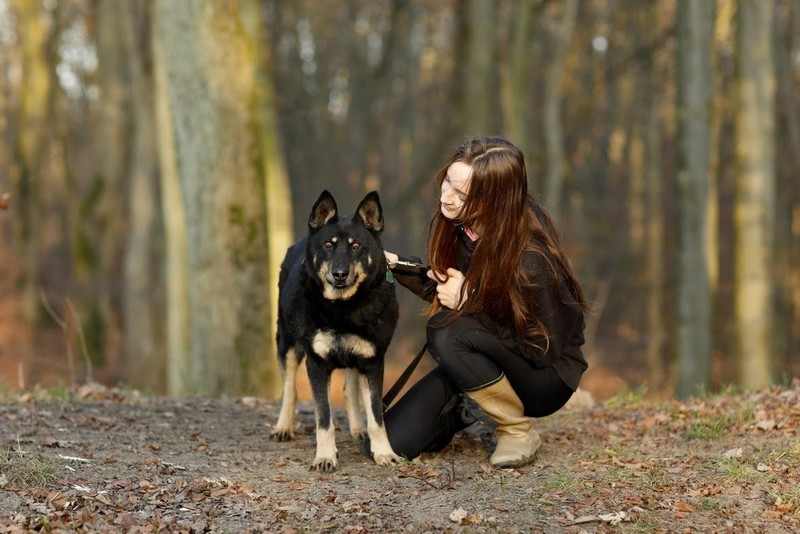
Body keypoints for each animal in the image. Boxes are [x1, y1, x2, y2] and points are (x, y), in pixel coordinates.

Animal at [270, 192, 400, 474]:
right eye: (328, 245)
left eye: (356, 246)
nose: (339, 274)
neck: (343, 309)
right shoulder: (317, 364)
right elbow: (324, 419)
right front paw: (325, 457)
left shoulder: (372, 362)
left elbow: (376, 417)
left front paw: (384, 452)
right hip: (287, 344)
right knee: (289, 389)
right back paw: (283, 427)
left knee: (350, 391)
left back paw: (358, 430)